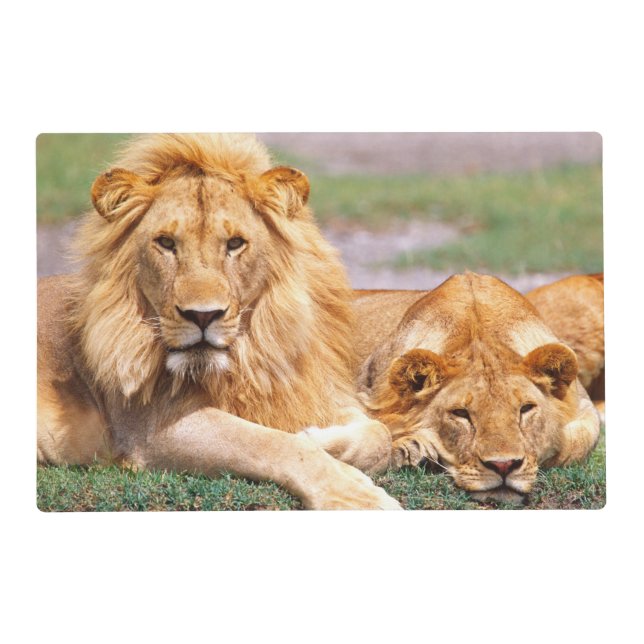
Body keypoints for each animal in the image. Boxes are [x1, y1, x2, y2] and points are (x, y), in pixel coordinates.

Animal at [37, 133, 400, 510]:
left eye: (235, 243)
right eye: (166, 243)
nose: (202, 315)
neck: (249, 357)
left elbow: (379, 434)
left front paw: (321, 439)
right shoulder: (149, 429)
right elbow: (272, 443)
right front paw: (353, 493)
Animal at [352, 273, 601, 503]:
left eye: (526, 409)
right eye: (461, 413)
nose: (504, 465)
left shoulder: (584, 407)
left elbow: (575, 443)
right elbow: (377, 432)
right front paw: (412, 449)